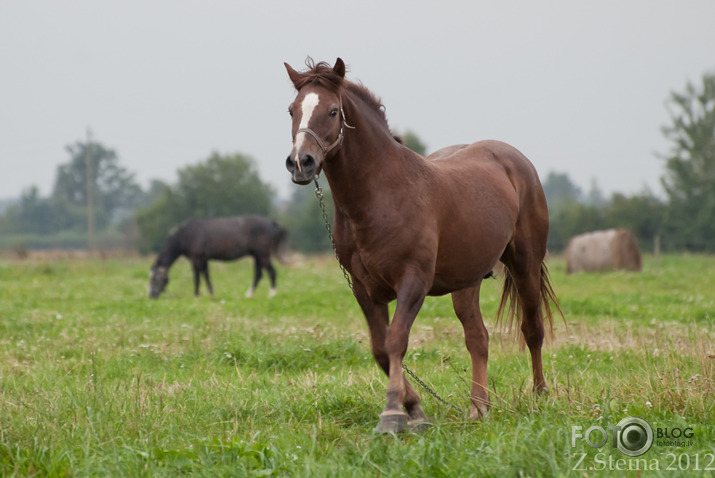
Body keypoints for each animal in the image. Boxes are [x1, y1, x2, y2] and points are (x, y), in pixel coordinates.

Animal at [150, 216, 290, 298]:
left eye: (155, 278)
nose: (151, 295)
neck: (186, 235)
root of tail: (271, 223)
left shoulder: (196, 259)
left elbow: (197, 278)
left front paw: (196, 296)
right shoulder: (203, 259)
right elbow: (206, 276)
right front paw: (211, 294)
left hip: (263, 255)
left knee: (271, 272)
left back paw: (272, 294)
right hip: (257, 256)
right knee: (259, 274)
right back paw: (249, 294)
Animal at [282, 58, 564, 434]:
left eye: (332, 111)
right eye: (292, 110)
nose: (301, 163)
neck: (381, 193)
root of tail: (515, 162)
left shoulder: (413, 281)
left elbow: (396, 341)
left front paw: (392, 415)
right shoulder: (364, 289)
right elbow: (380, 349)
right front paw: (414, 409)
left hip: (525, 265)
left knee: (532, 328)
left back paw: (540, 395)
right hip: (467, 282)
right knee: (478, 337)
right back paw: (478, 407)